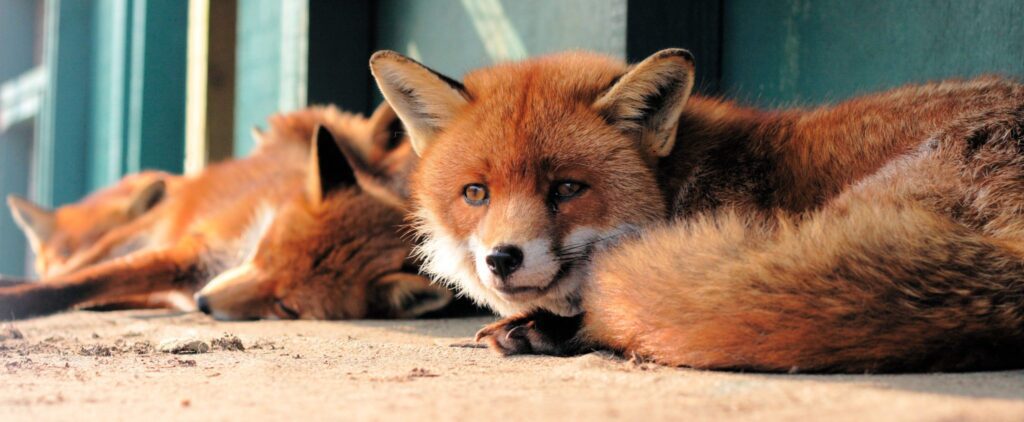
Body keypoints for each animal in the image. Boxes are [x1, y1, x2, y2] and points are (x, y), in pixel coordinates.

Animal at [0, 103, 451, 320]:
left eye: (286, 308)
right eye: (263, 252)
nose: (203, 303)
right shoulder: (186, 252)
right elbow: (68, 285)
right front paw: (19, 301)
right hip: (136, 235)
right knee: (73, 270)